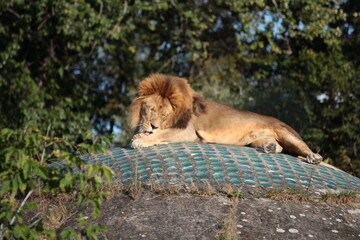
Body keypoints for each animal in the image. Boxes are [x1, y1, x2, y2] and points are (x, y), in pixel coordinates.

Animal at [130, 73, 324, 164]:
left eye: (164, 115)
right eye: (151, 109)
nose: (154, 126)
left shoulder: (189, 131)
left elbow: (163, 134)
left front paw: (140, 140)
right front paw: (142, 135)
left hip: (286, 133)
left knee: (302, 148)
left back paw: (314, 157)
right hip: (255, 140)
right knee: (279, 147)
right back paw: (269, 147)